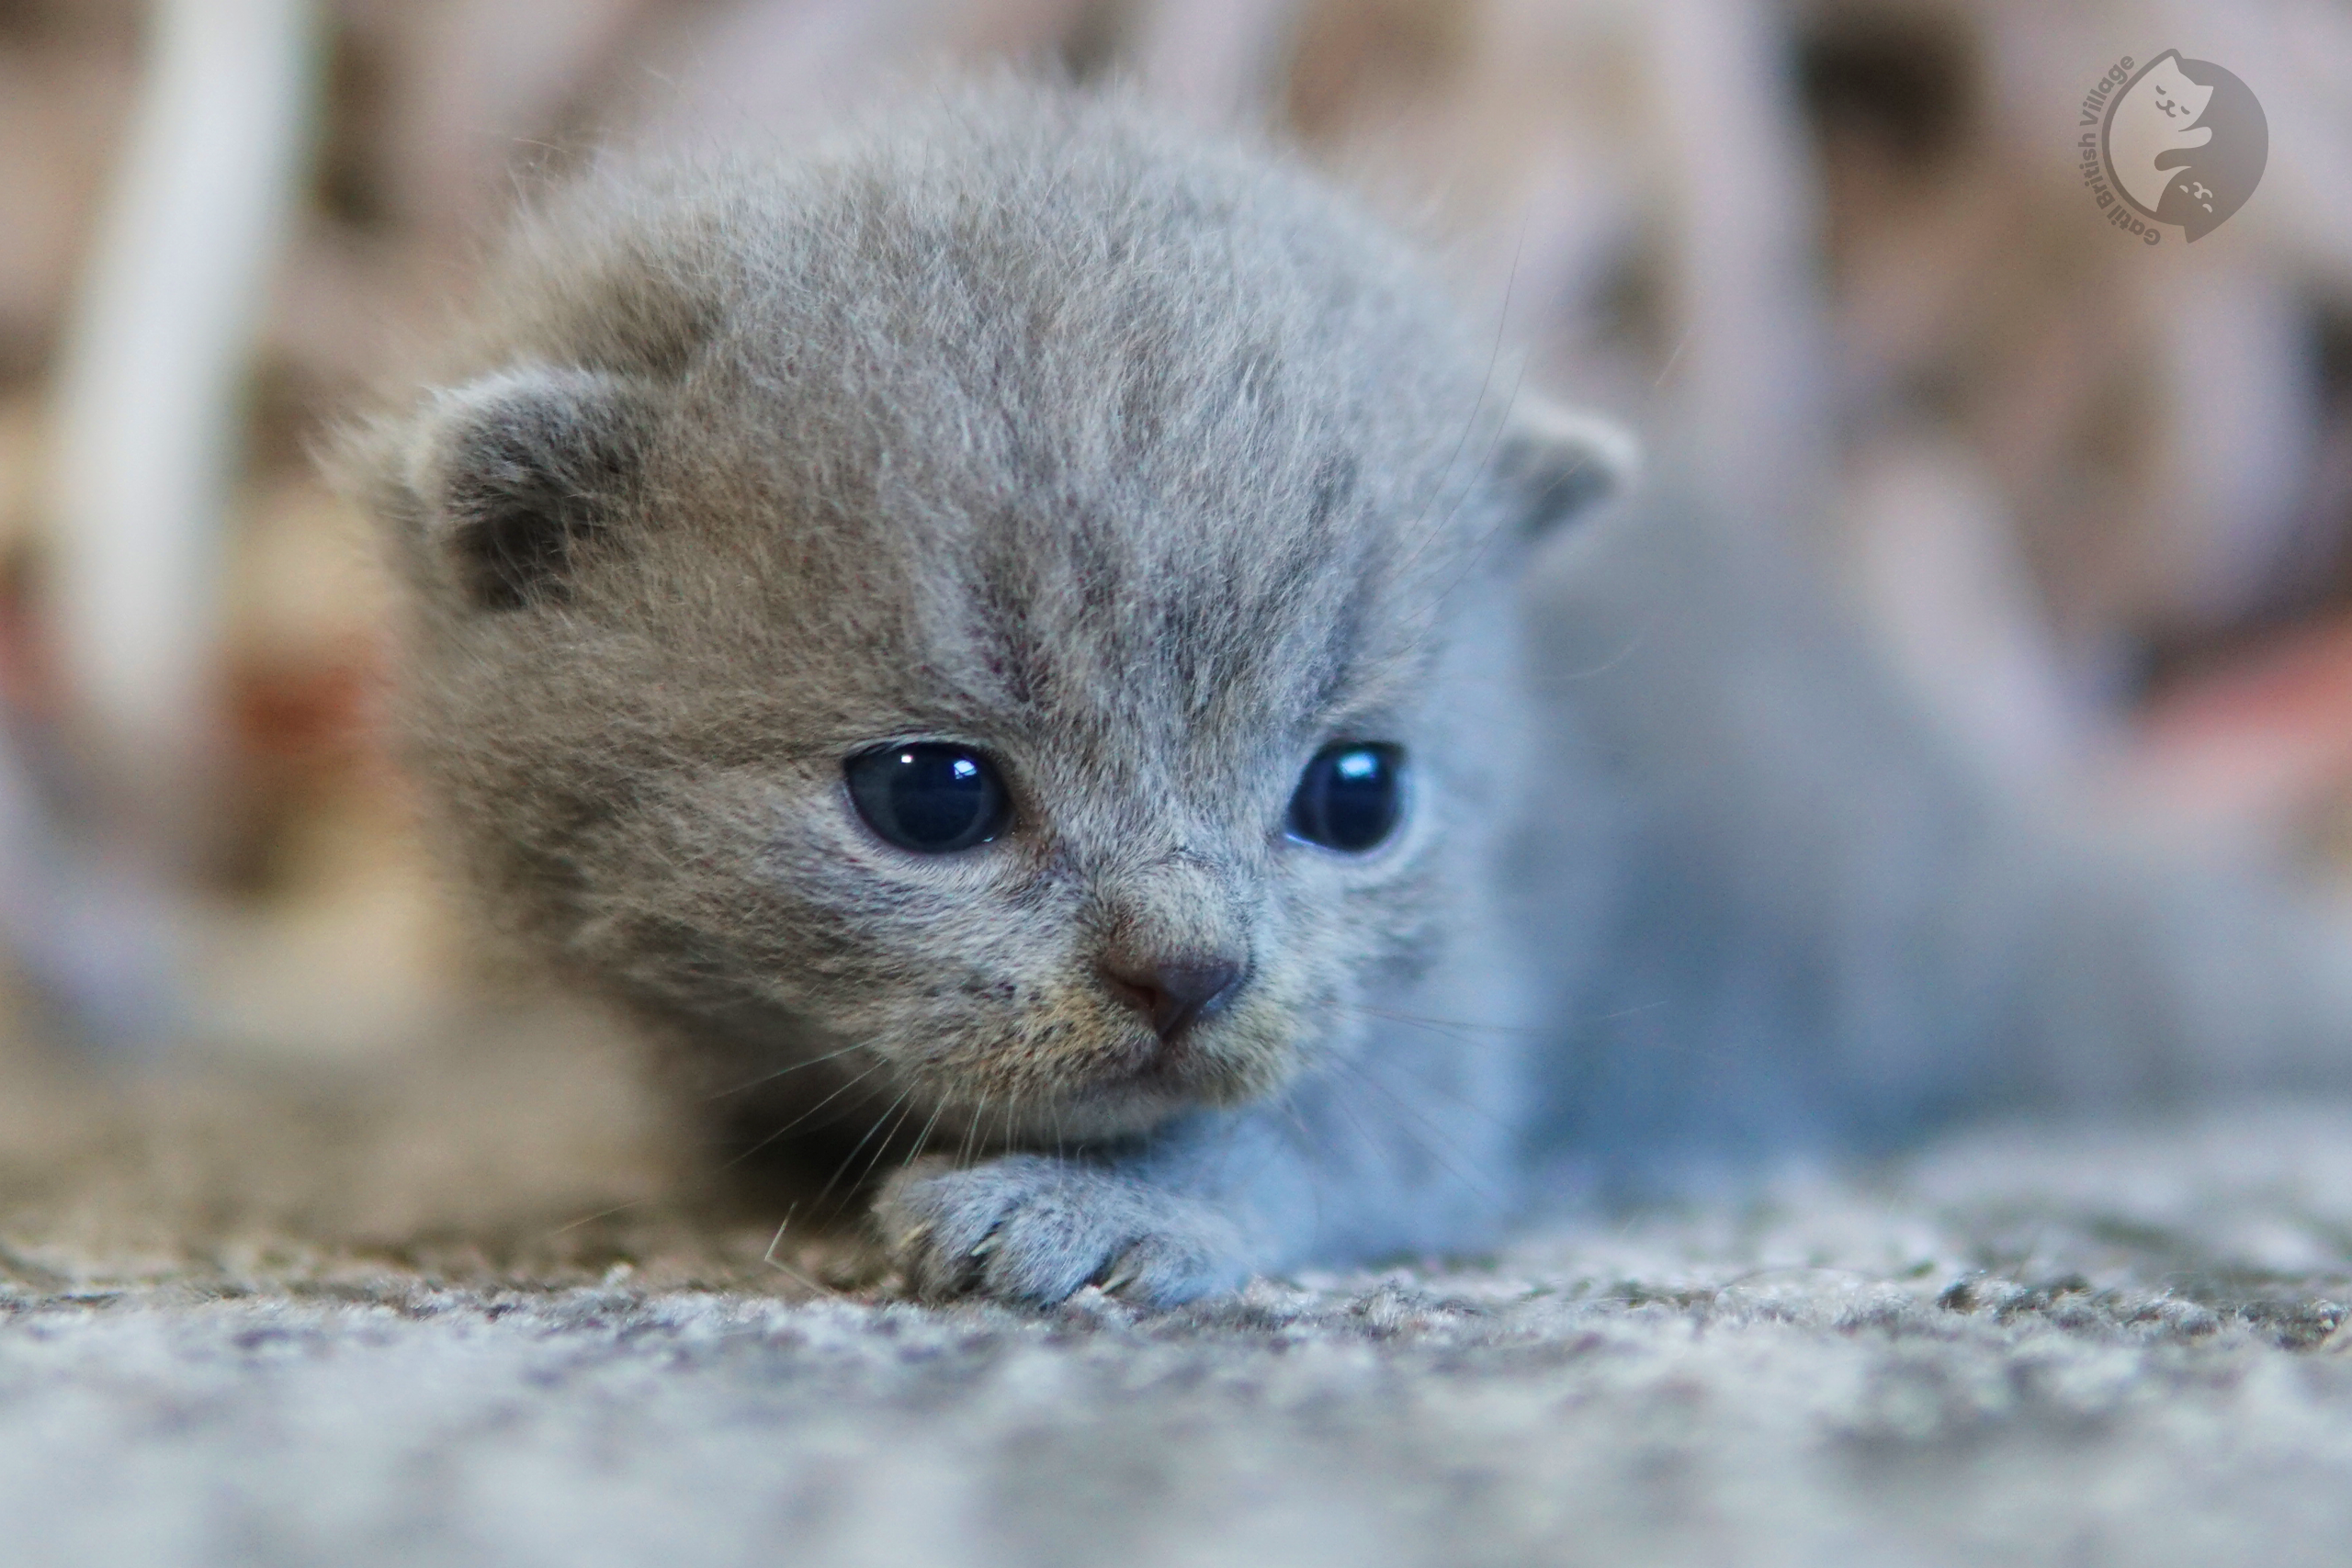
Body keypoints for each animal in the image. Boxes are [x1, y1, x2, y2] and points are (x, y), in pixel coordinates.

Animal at [357, 80, 2352, 1306]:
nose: (1187, 970)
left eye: (1355, 793)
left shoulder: (1469, 1007)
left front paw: (1098, 1207)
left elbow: (1335, 1130)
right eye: (929, 794)